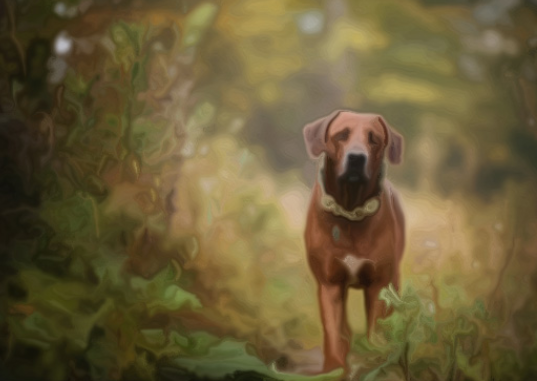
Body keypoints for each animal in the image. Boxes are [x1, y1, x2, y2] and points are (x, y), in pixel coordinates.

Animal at [304, 109, 404, 372]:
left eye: (374, 139)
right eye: (341, 135)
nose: (357, 158)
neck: (350, 212)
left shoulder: (379, 285)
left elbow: (375, 334)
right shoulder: (330, 285)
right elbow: (334, 336)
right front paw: (334, 370)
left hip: (394, 280)